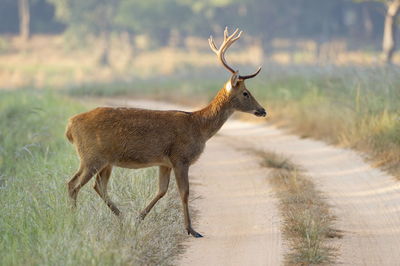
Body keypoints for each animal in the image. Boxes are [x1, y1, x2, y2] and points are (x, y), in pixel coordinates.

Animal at [65, 28, 266, 238]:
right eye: (245, 93)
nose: (262, 110)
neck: (198, 126)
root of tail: (70, 125)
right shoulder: (180, 157)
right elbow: (184, 192)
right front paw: (191, 229)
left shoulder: (165, 162)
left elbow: (161, 190)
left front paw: (139, 217)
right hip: (92, 156)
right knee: (73, 184)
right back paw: (74, 221)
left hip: (104, 160)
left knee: (96, 185)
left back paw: (122, 217)